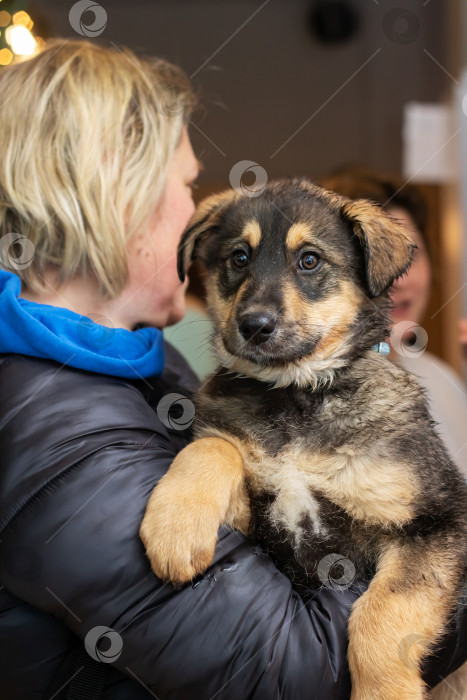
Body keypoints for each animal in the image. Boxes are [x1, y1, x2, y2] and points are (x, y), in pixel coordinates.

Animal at [140, 180, 467, 700]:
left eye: (309, 260)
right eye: (239, 258)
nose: (254, 325)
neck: (296, 394)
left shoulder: (435, 522)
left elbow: (381, 614)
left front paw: (383, 690)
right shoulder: (258, 531)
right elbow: (213, 445)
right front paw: (175, 528)